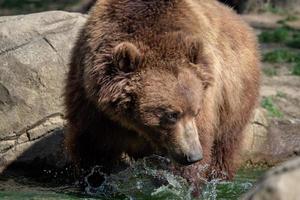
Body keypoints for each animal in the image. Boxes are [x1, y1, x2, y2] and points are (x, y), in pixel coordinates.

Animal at [65, 0, 260, 194]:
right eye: (172, 114)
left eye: (195, 112)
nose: (193, 155)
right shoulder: (92, 103)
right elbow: (93, 147)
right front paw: (93, 183)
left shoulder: (206, 99)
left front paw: (184, 185)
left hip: (234, 94)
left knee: (225, 145)